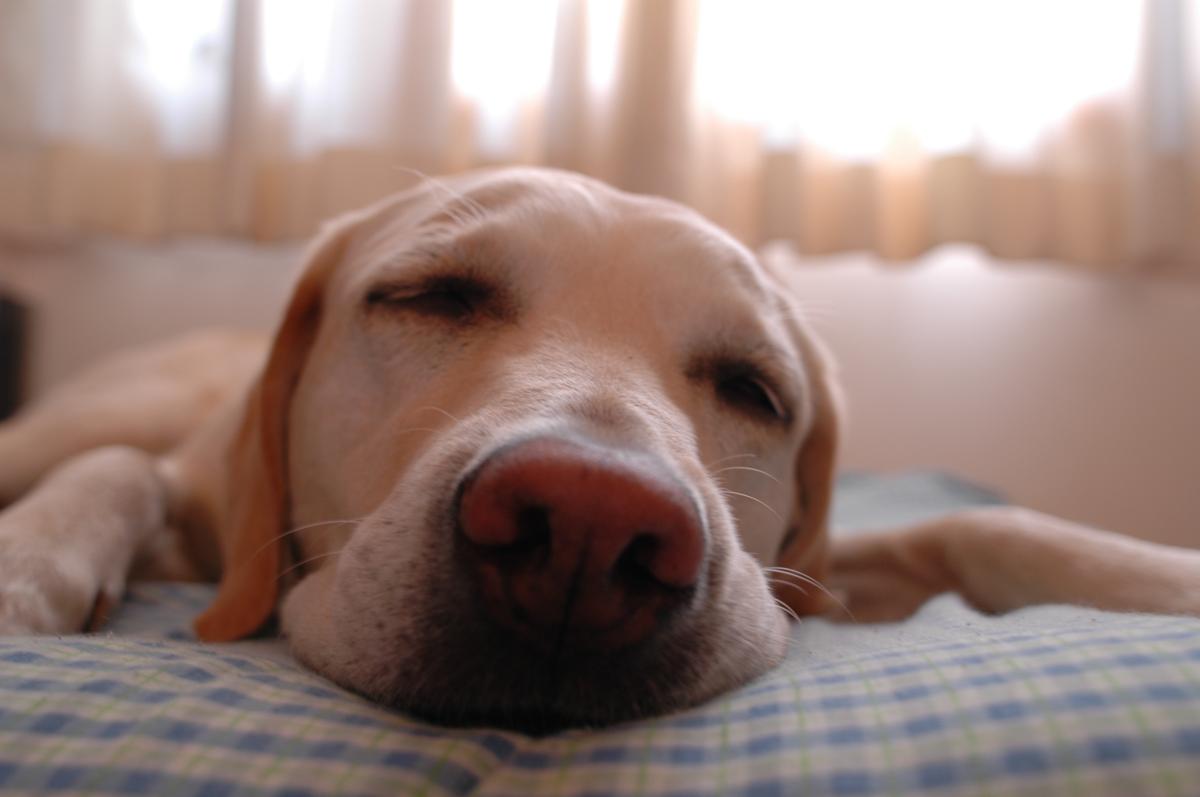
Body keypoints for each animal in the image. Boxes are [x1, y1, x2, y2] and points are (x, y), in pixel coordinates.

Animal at [2, 171, 1200, 729]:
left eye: (755, 388)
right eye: (432, 296)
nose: (587, 525)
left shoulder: (804, 574)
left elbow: (984, 520)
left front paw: (1158, 573)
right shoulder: (189, 494)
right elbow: (117, 471)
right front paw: (28, 569)